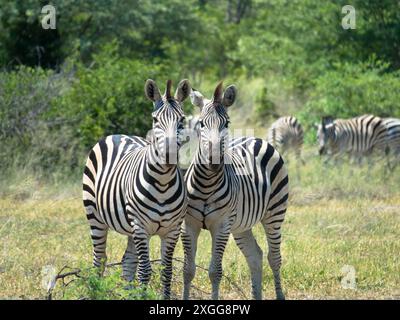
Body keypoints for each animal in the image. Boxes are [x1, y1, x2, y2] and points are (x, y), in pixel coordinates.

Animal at [81, 79, 191, 298]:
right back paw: (96, 292)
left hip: (130, 226)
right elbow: (145, 270)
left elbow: (166, 270)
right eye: (155, 120)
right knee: (100, 260)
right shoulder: (141, 227)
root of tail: (117, 135)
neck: (163, 183)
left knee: (127, 262)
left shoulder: (172, 229)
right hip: (95, 215)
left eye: (182, 119)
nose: (169, 155)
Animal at [183, 82, 290, 300]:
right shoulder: (189, 225)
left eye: (227, 123)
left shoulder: (222, 225)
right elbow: (188, 270)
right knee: (255, 255)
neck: (206, 185)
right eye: (201, 124)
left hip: (274, 213)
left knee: (274, 257)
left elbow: (215, 272)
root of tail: (255, 138)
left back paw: (279, 294)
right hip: (241, 225)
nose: (214, 161)